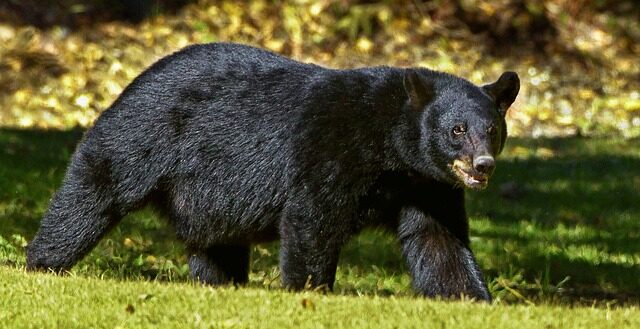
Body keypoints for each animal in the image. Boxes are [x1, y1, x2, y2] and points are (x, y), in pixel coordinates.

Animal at [27, 42, 520, 302]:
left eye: (492, 130)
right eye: (457, 130)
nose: (483, 165)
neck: (390, 147)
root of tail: (135, 78)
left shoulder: (426, 184)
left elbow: (438, 239)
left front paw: (471, 298)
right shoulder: (332, 149)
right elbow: (312, 219)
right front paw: (311, 292)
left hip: (208, 196)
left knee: (216, 243)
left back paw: (221, 283)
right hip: (143, 134)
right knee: (94, 190)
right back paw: (42, 262)